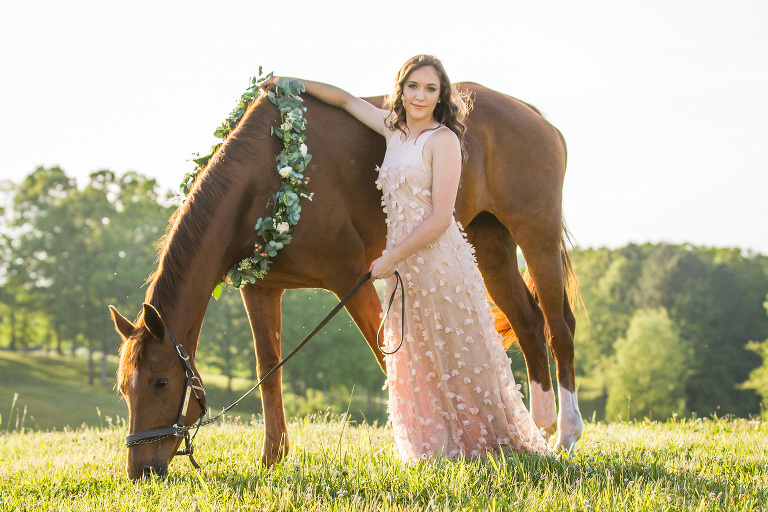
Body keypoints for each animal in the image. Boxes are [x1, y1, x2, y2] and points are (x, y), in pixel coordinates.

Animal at [109, 82, 584, 478]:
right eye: (123, 389)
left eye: (161, 382)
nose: (140, 470)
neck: (271, 175)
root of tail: (531, 113)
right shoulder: (260, 289)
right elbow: (269, 369)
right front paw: (273, 459)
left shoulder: (353, 277)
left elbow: (386, 356)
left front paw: (421, 449)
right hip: (489, 242)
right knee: (528, 322)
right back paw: (537, 431)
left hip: (536, 238)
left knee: (558, 328)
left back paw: (565, 435)